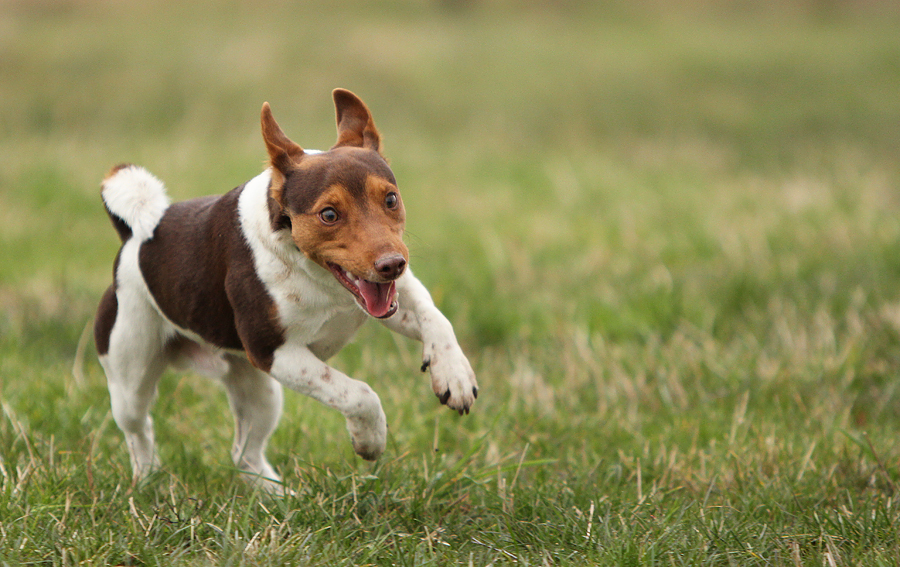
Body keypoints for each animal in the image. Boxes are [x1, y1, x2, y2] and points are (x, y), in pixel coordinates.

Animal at [93, 89, 478, 492]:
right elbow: (358, 393)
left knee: (244, 454)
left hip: (259, 392)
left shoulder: (395, 296)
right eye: (329, 215)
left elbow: (436, 319)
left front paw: (455, 377)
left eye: (390, 199)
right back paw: (148, 478)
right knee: (140, 431)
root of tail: (131, 238)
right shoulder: (275, 352)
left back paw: (281, 496)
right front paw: (371, 439)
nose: (392, 264)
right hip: (131, 376)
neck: (322, 278)